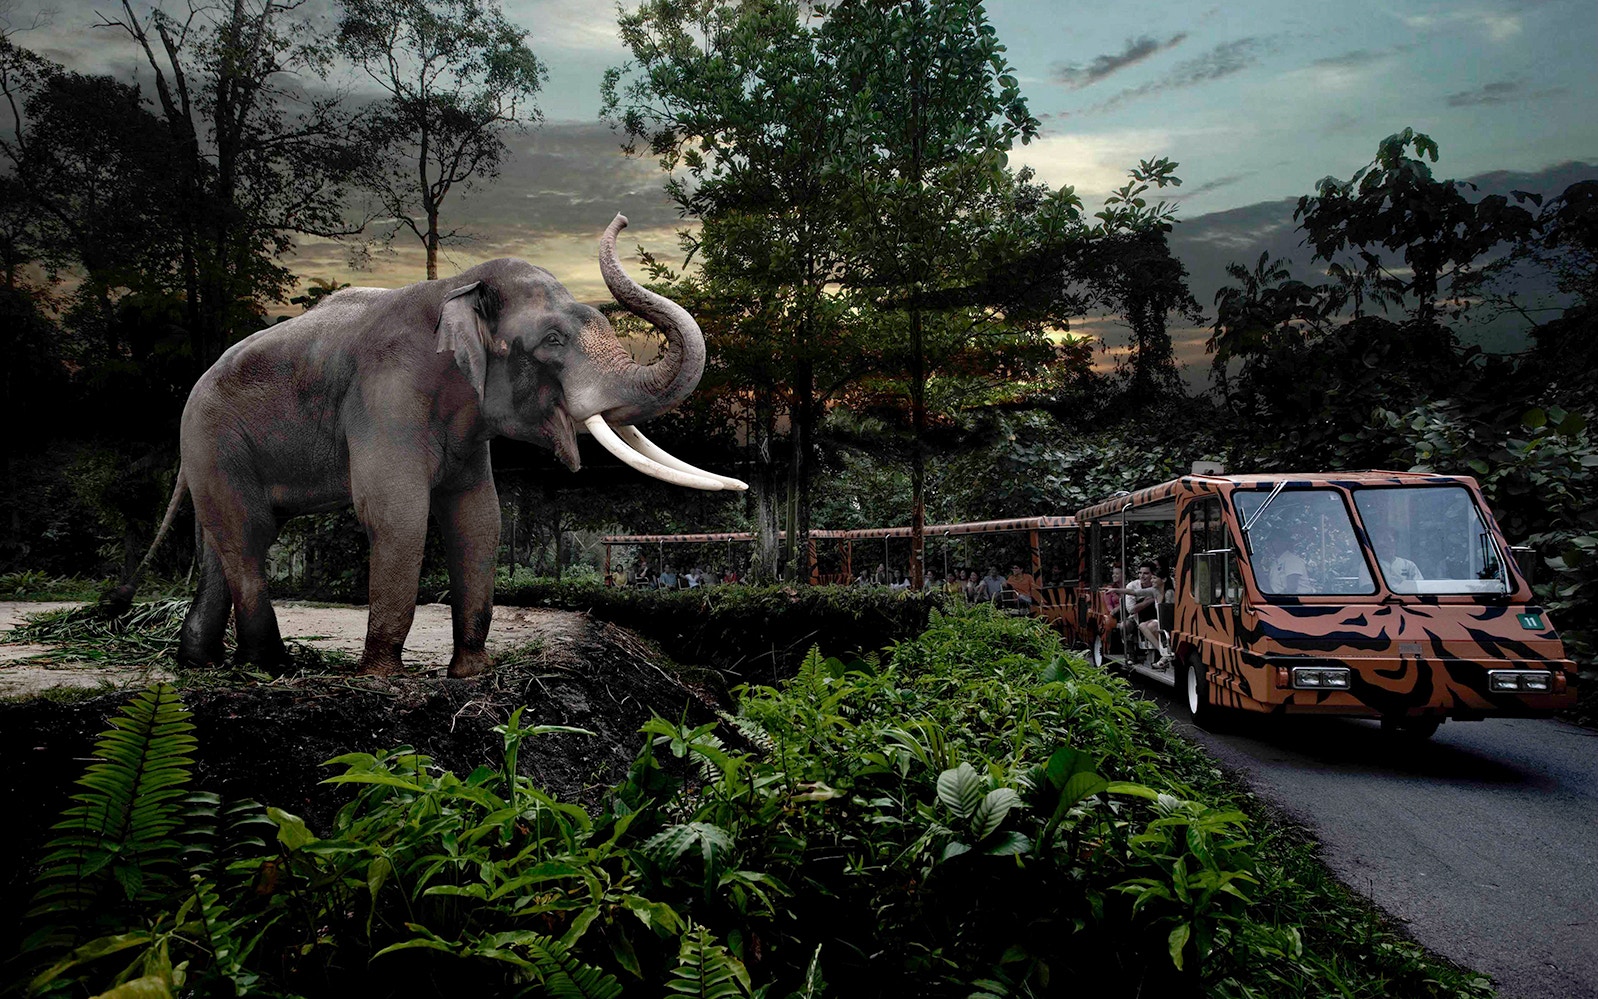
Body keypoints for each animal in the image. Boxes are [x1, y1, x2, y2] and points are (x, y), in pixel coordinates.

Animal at [110, 214, 744, 677]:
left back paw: (203, 664)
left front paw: (471, 675)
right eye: (553, 340)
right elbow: (399, 514)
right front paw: (380, 679)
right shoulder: (386, 394)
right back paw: (272, 668)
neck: (455, 288)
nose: (622, 218)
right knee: (248, 533)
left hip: (213, 450)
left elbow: (478, 515)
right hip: (215, 436)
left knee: (222, 537)